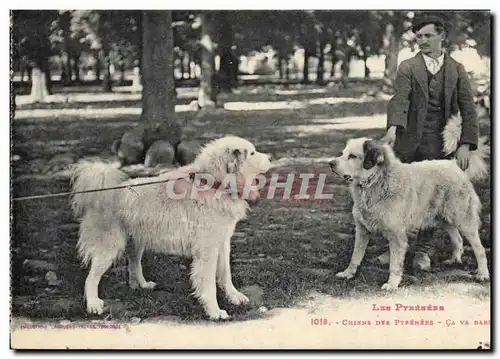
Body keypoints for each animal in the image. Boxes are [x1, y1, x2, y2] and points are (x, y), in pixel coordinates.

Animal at [70, 136, 272, 320]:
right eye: (252, 153)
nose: (270, 159)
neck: (214, 183)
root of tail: (101, 192)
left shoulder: (222, 243)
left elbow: (226, 274)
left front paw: (235, 297)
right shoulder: (207, 250)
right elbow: (208, 284)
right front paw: (215, 311)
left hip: (136, 241)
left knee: (134, 265)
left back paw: (142, 285)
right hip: (109, 248)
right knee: (91, 278)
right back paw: (93, 305)